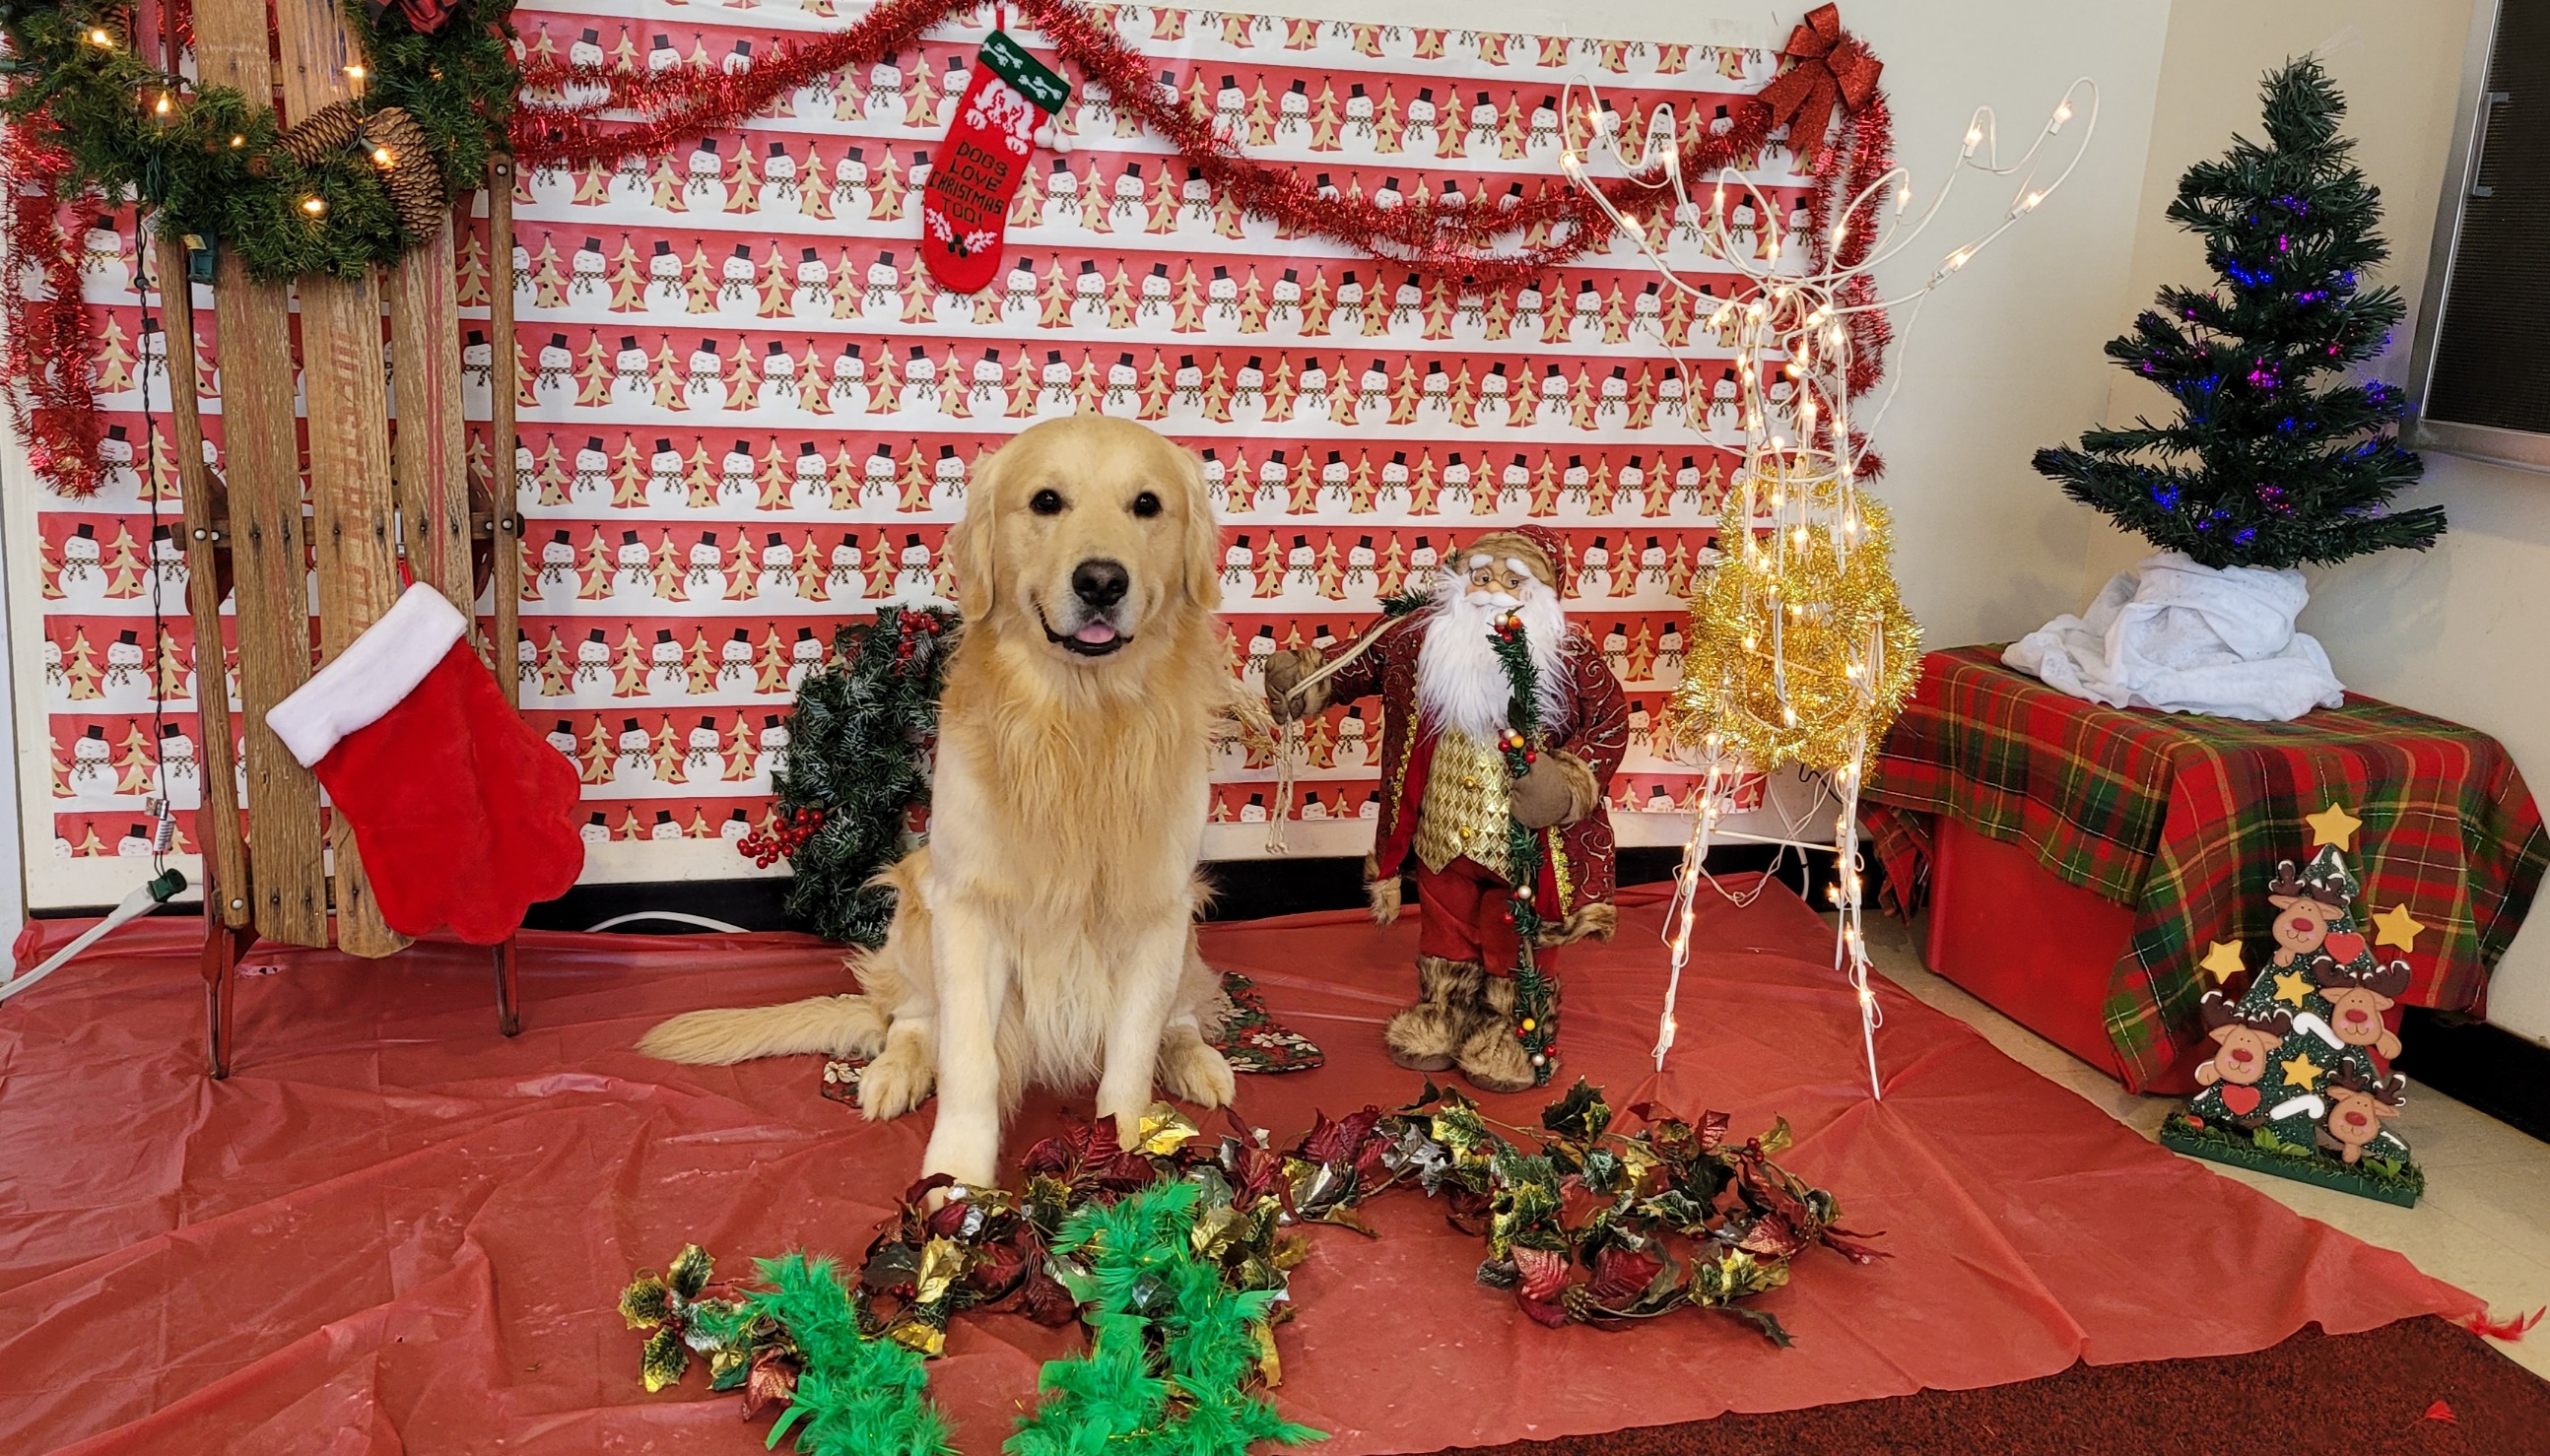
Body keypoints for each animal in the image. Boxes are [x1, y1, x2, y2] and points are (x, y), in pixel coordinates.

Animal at [638, 415, 1238, 1188]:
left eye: (1147, 505)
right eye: (1046, 502)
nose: (1102, 581)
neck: (1077, 723)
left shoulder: (1158, 908)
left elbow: (1131, 1058)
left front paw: (1126, 1159)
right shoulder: (969, 908)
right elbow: (969, 1058)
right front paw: (956, 1177)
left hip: (1186, 925)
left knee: (1183, 1013)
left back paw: (1198, 1061)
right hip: (917, 897)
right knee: (910, 1018)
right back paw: (893, 1073)